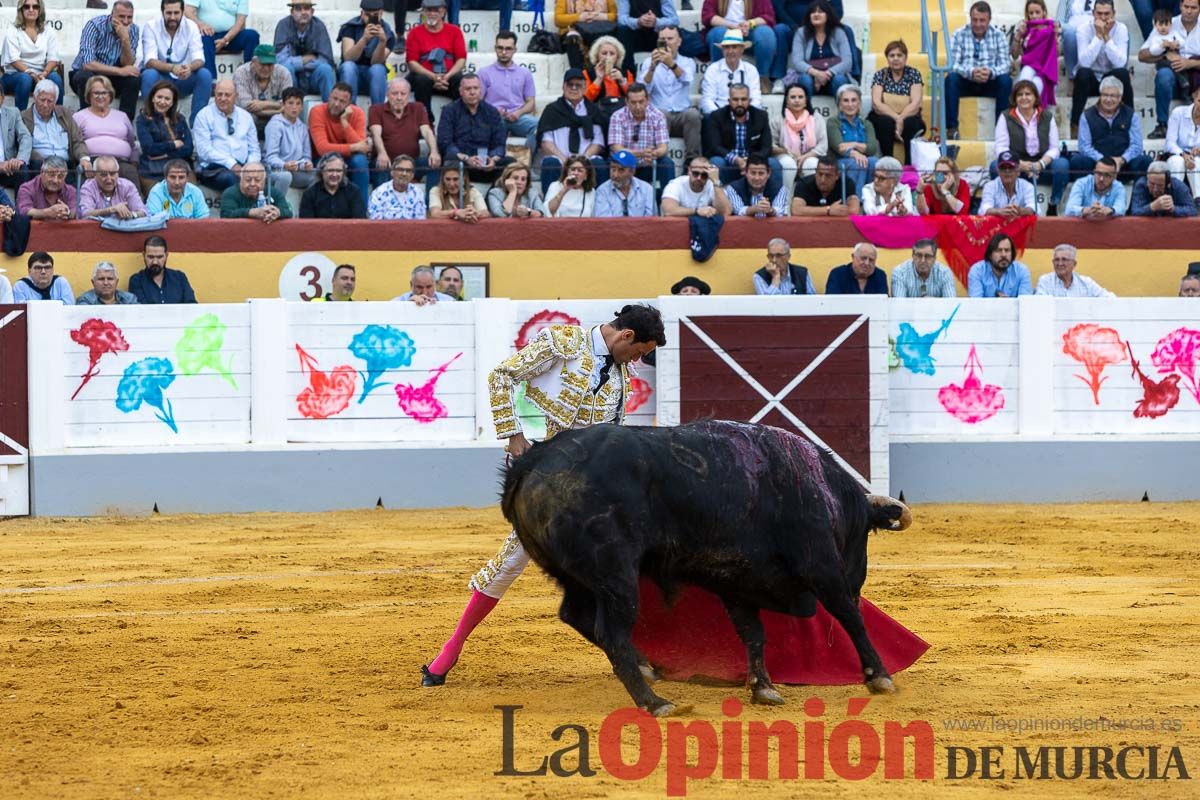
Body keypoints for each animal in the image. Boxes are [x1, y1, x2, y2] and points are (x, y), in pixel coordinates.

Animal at [501, 422, 912, 714]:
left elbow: (753, 632)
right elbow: (850, 616)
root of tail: (534, 461)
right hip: (617, 576)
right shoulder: (821, 566)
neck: (822, 488)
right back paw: (655, 703)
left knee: (576, 615)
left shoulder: (736, 581)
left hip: (577, 577)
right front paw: (879, 677)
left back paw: (648, 669)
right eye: (865, 535)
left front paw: (763, 688)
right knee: (611, 632)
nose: (858, 578)